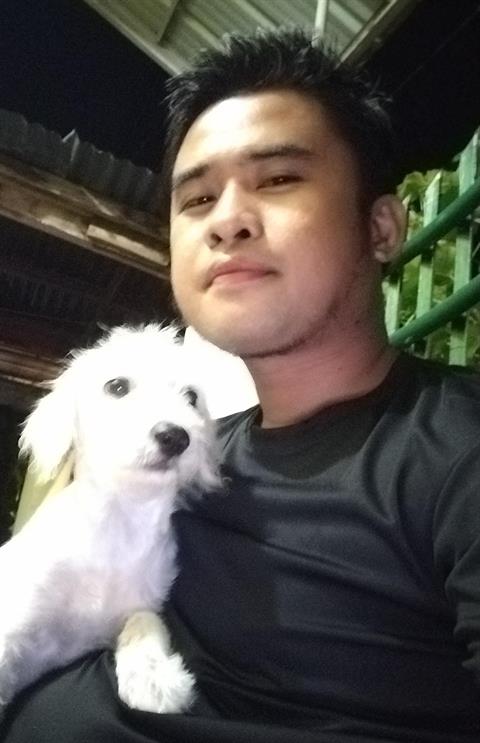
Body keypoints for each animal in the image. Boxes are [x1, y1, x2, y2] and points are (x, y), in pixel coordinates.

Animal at [0, 324, 220, 714]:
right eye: (116, 386)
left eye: (192, 397)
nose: (175, 436)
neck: (121, 520)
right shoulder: (16, 617)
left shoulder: (137, 607)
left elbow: (146, 620)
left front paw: (152, 677)